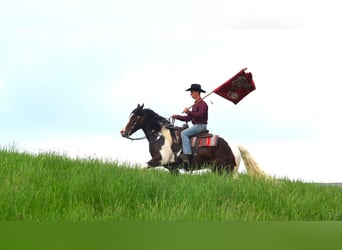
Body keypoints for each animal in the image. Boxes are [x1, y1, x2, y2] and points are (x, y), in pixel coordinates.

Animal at [120, 104, 268, 177]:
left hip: (228, 171)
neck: (161, 137)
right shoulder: (171, 168)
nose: (122, 132)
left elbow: (142, 166)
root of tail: (235, 146)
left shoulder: (160, 160)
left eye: (135, 117)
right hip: (218, 170)